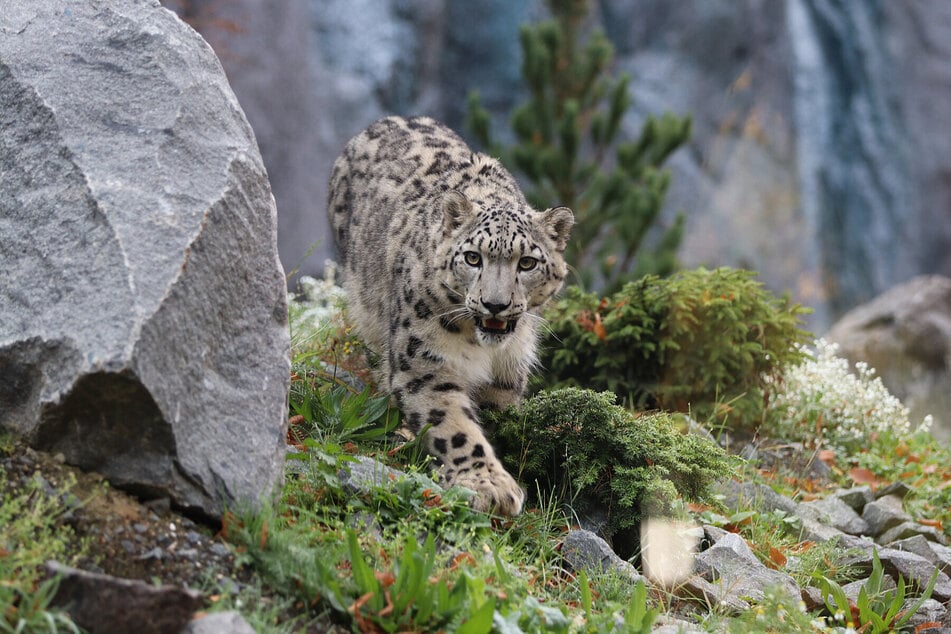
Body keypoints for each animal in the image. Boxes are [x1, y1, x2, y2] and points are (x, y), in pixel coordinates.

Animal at [328, 117, 572, 512]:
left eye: (527, 262)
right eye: (473, 257)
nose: (495, 304)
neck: (484, 349)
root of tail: (387, 120)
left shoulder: (507, 373)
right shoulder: (423, 362)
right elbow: (454, 425)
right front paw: (490, 486)